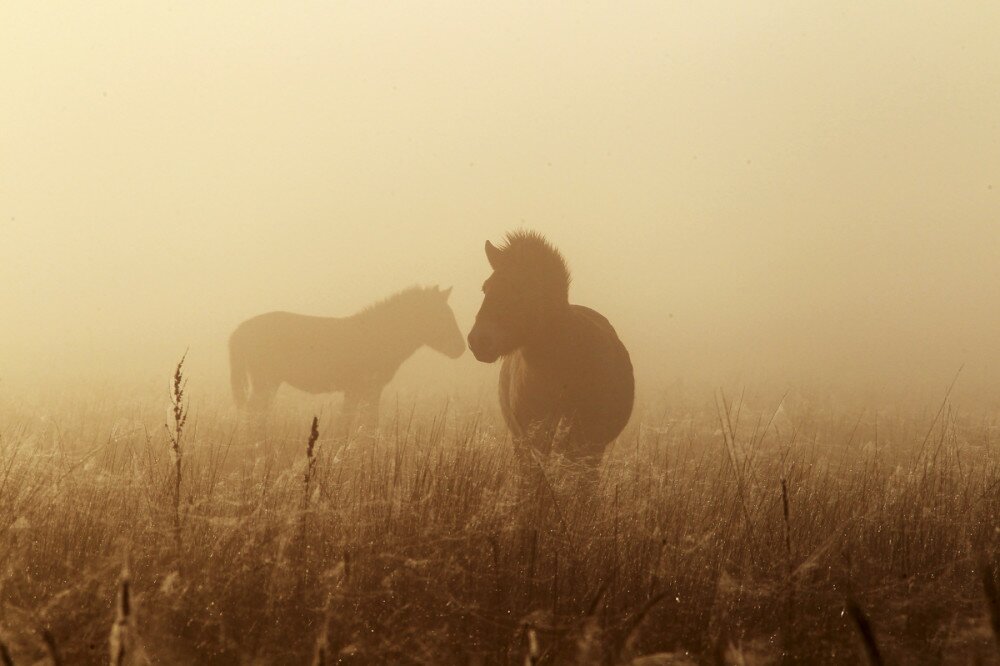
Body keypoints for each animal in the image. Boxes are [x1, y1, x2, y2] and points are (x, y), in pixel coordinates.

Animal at [229, 284, 464, 430]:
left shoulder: (356, 390)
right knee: (254, 413)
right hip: (265, 382)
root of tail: (241, 328)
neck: (380, 335)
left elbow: (350, 423)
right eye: (443, 316)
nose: (461, 348)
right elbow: (366, 424)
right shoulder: (368, 389)